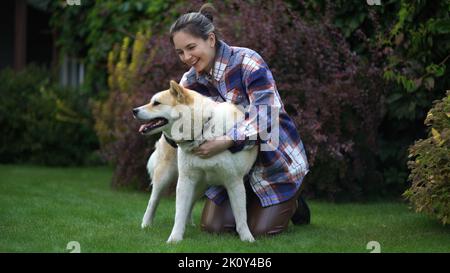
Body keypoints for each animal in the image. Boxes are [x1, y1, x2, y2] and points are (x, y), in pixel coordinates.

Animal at [133, 79, 256, 241]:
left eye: (156, 103)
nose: (134, 110)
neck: (203, 130)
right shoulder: (185, 180)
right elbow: (179, 213)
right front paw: (175, 239)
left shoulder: (234, 182)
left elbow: (241, 217)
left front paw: (247, 239)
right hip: (165, 178)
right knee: (152, 202)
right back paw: (146, 225)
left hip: (200, 185)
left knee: (189, 204)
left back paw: (189, 224)